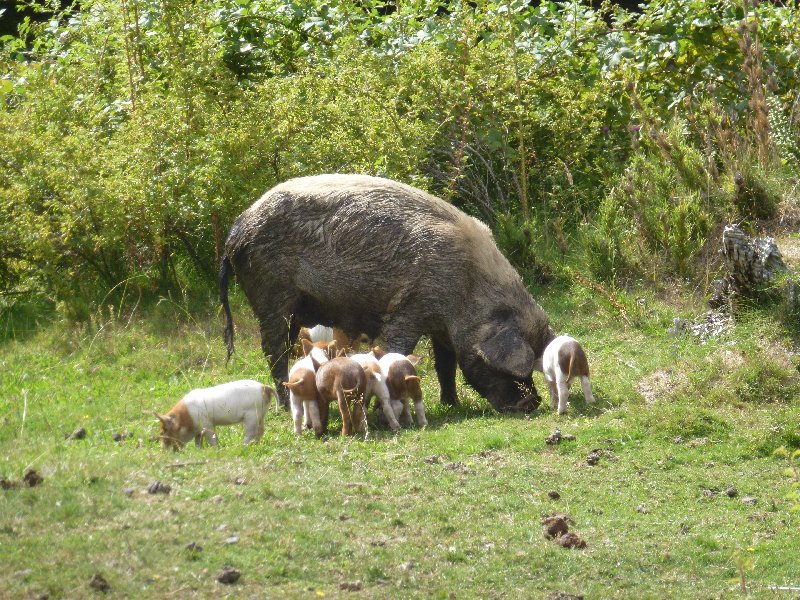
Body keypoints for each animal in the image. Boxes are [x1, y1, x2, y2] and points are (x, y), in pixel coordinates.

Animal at [220, 171, 556, 410]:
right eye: (511, 370)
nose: (532, 403)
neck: (467, 288)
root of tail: (236, 230)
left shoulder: (443, 329)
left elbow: (445, 365)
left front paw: (452, 405)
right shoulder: (410, 306)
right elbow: (398, 347)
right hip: (270, 293)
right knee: (272, 349)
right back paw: (282, 405)